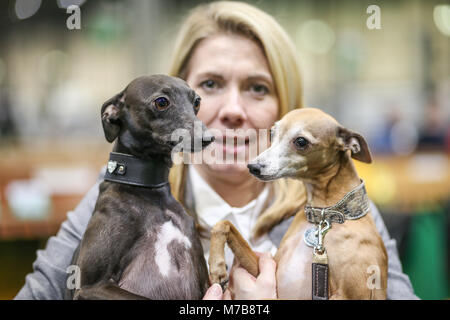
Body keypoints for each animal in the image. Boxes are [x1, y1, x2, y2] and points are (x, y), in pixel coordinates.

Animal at [209, 108, 388, 300]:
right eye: (272, 133)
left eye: (301, 141)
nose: (253, 167)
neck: (324, 215)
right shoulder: (266, 268)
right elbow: (223, 224)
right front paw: (216, 268)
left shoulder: (351, 294)